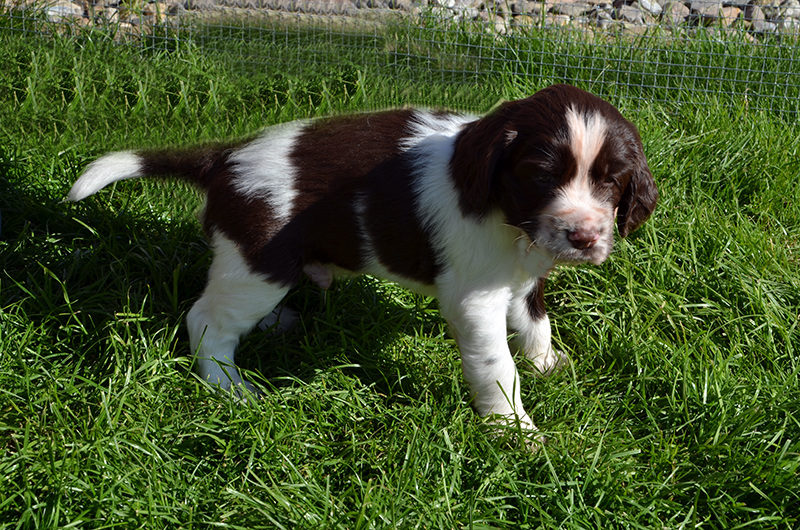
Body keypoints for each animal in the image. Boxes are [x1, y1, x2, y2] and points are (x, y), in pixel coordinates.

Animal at [69, 83, 656, 434]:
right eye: (539, 175)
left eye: (612, 181)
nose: (584, 236)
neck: (508, 220)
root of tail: (224, 157)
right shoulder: (474, 297)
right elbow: (496, 367)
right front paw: (515, 433)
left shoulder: (523, 274)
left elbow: (535, 322)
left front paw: (548, 366)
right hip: (260, 265)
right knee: (207, 321)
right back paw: (230, 387)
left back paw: (277, 325)